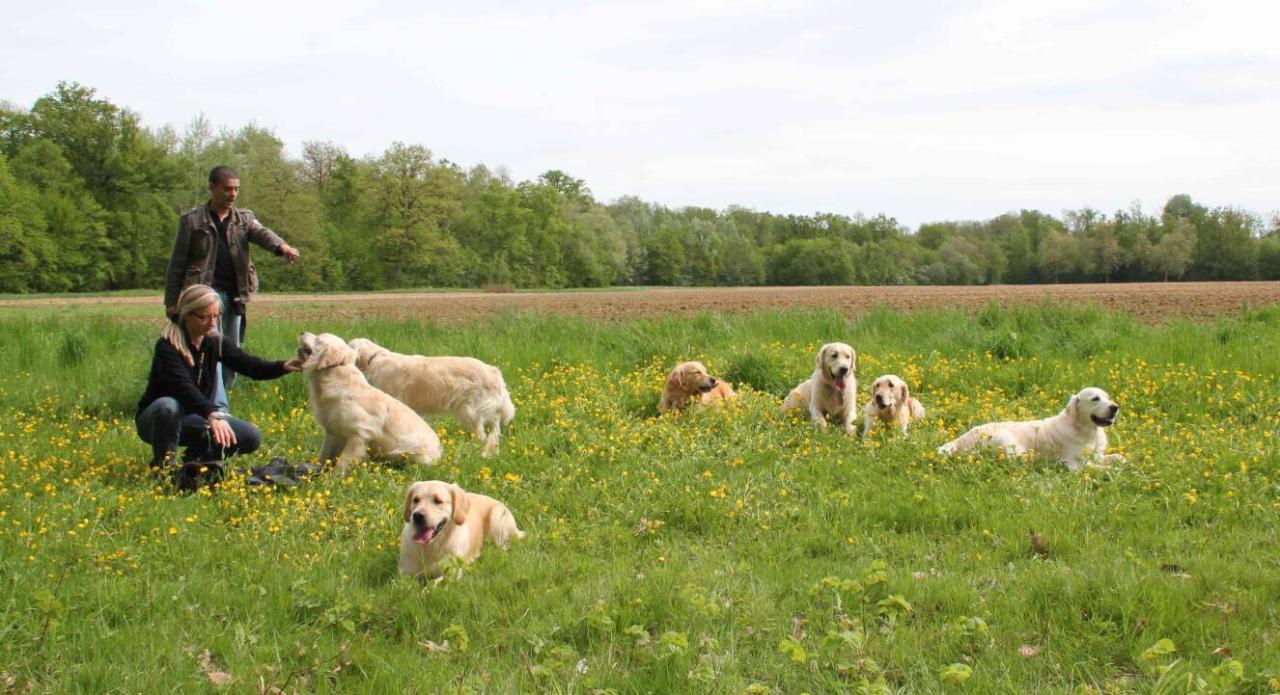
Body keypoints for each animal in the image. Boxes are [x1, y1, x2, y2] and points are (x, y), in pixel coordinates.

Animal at [296, 332, 442, 476]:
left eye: (319, 338)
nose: (302, 332)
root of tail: (440, 452)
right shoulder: (331, 433)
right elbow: (323, 457)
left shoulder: (359, 435)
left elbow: (342, 463)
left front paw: (334, 480)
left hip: (407, 454)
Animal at [936, 386, 1126, 473]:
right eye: (1095, 399)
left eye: (1108, 397)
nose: (1115, 407)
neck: (1087, 432)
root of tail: (964, 437)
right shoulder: (1074, 464)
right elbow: (1096, 467)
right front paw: (1115, 471)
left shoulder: (1097, 455)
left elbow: (1118, 457)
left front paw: (1123, 463)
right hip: (1010, 445)